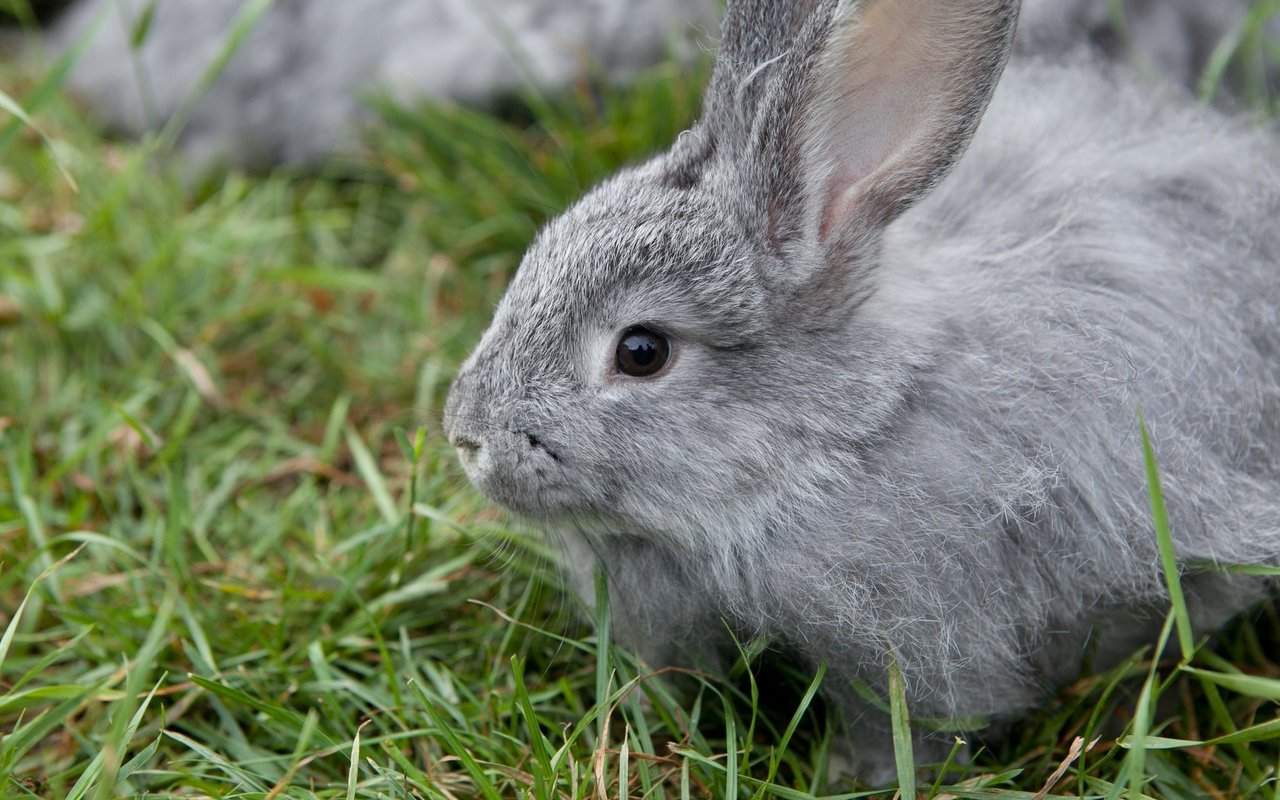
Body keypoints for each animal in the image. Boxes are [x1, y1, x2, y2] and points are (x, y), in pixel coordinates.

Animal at [445, 0, 1280, 783]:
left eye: (642, 352)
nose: (466, 434)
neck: (837, 440)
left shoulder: (917, 646)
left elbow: (908, 723)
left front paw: (857, 776)